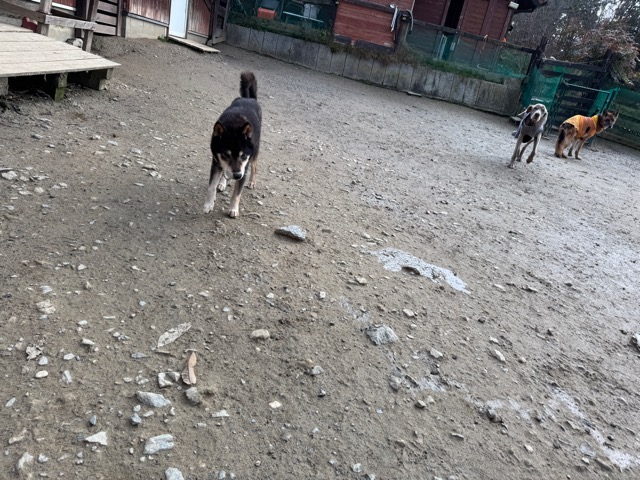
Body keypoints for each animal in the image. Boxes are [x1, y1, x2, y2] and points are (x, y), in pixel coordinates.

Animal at [203, 72, 261, 218]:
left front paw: (233, 209)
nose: (237, 176)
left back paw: (252, 182)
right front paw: (208, 204)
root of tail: (249, 98)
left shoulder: (244, 168)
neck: (234, 126)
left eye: (243, 156)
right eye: (226, 155)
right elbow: (211, 186)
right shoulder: (217, 162)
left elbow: (237, 193)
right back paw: (223, 182)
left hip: (255, 152)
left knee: (255, 167)